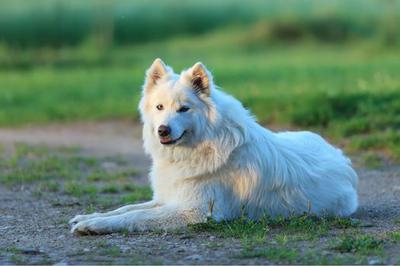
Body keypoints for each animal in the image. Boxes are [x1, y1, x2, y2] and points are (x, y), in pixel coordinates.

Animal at [69, 58, 360, 235]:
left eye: (183, 109)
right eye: (159, 107)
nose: (163, 130)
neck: (200, 147)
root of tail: (342, 158)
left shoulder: (193, 212)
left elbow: (134, 217)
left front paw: (94, 224)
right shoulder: (168, 197)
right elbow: (127, 208)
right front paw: (88, 217)